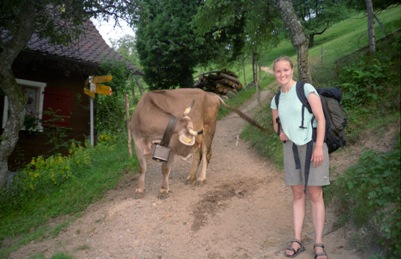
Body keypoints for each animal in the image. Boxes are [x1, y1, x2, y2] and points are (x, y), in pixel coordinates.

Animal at [130, 88, 264, 200]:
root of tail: (209, 93)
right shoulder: (136, 143)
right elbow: (142, 168)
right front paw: (139, 189)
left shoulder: (171, 148)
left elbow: (165, 168)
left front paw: (163, 190)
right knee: (197, 155)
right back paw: (191, 177)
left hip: (209, 128)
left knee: (205, 153)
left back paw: (201, 178)